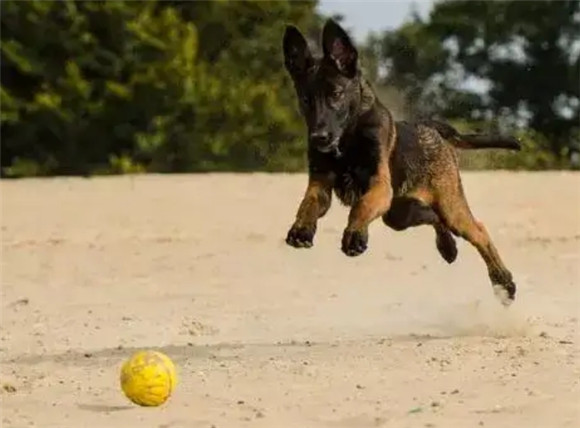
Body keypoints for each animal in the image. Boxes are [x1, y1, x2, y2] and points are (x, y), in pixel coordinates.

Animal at [280, 17, 520, 304]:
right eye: (306, 99)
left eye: (336, 94)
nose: (320, 138)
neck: (347, 140)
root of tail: (431, 127)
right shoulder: (319, 183)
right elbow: (308, 204)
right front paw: (301, 229)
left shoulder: (379, 185)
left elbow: (361, 206)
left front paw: (355, 234)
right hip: (400, 214)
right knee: (433, 217)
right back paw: (448, 247)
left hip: (447, 206)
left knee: (478, 232)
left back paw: (504, 282)